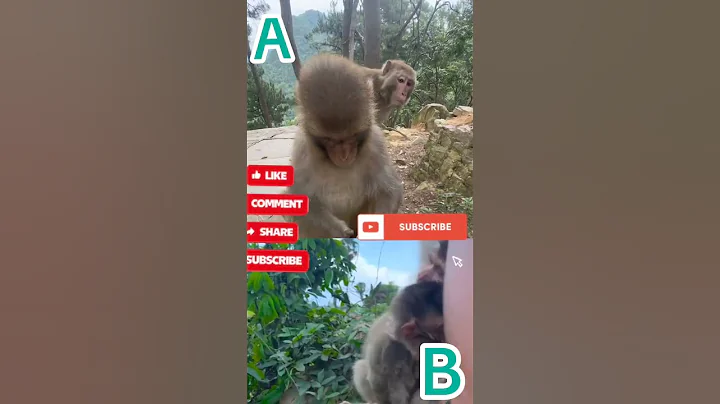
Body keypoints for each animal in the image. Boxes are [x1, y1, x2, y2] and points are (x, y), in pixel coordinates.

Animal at [288, 53, 403, 238]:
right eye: (330, 140)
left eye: (352, 137)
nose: (344, 156)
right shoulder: (301, 151)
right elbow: (302, 200)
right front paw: (339, 230)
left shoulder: (377, 143)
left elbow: (389, 190)